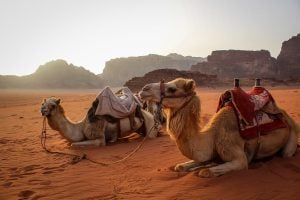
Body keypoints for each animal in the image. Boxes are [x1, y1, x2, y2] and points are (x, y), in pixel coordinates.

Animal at [139, 77, 300, 177]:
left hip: (291, 136)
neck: (212, 136)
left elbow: (206, 172)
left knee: (286, 153)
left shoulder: (238, 157)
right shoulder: (208, 153)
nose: (143, 89)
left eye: (172, 89)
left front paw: (204, 169)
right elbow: (181, 166)